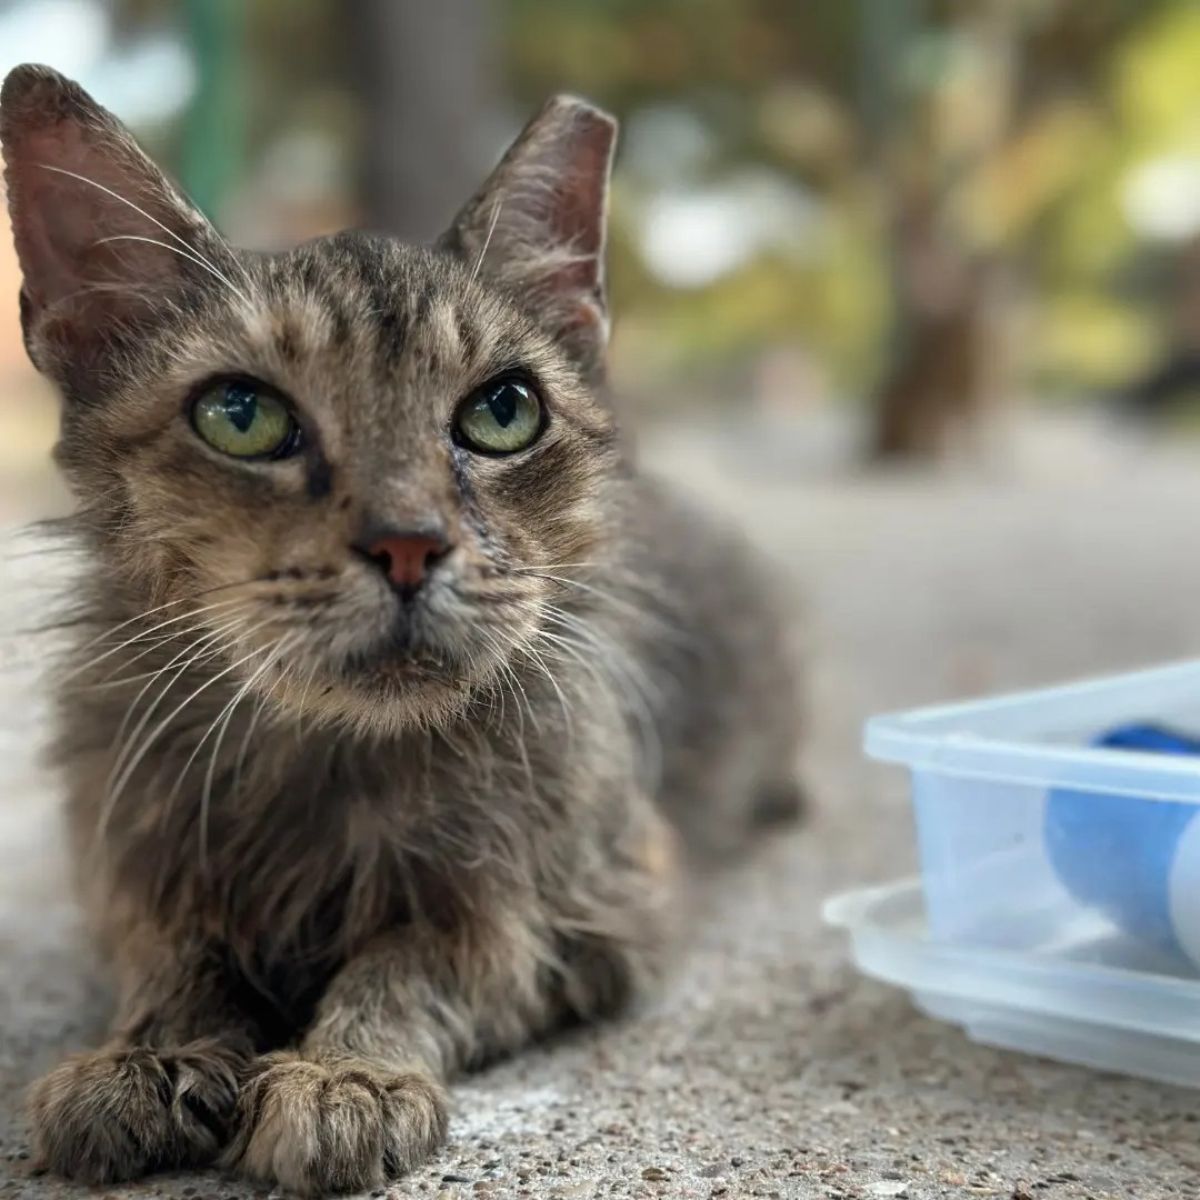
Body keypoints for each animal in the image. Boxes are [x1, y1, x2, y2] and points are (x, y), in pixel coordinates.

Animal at [2, 68, 806, 1200]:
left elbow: (414, 960)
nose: (409, 544)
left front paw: (347, 1074)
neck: (333, 760)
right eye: (241, 416)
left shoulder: (599, 913)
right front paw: (148, 1053)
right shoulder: (124, 872)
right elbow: (176, 955)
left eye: (504, 412)